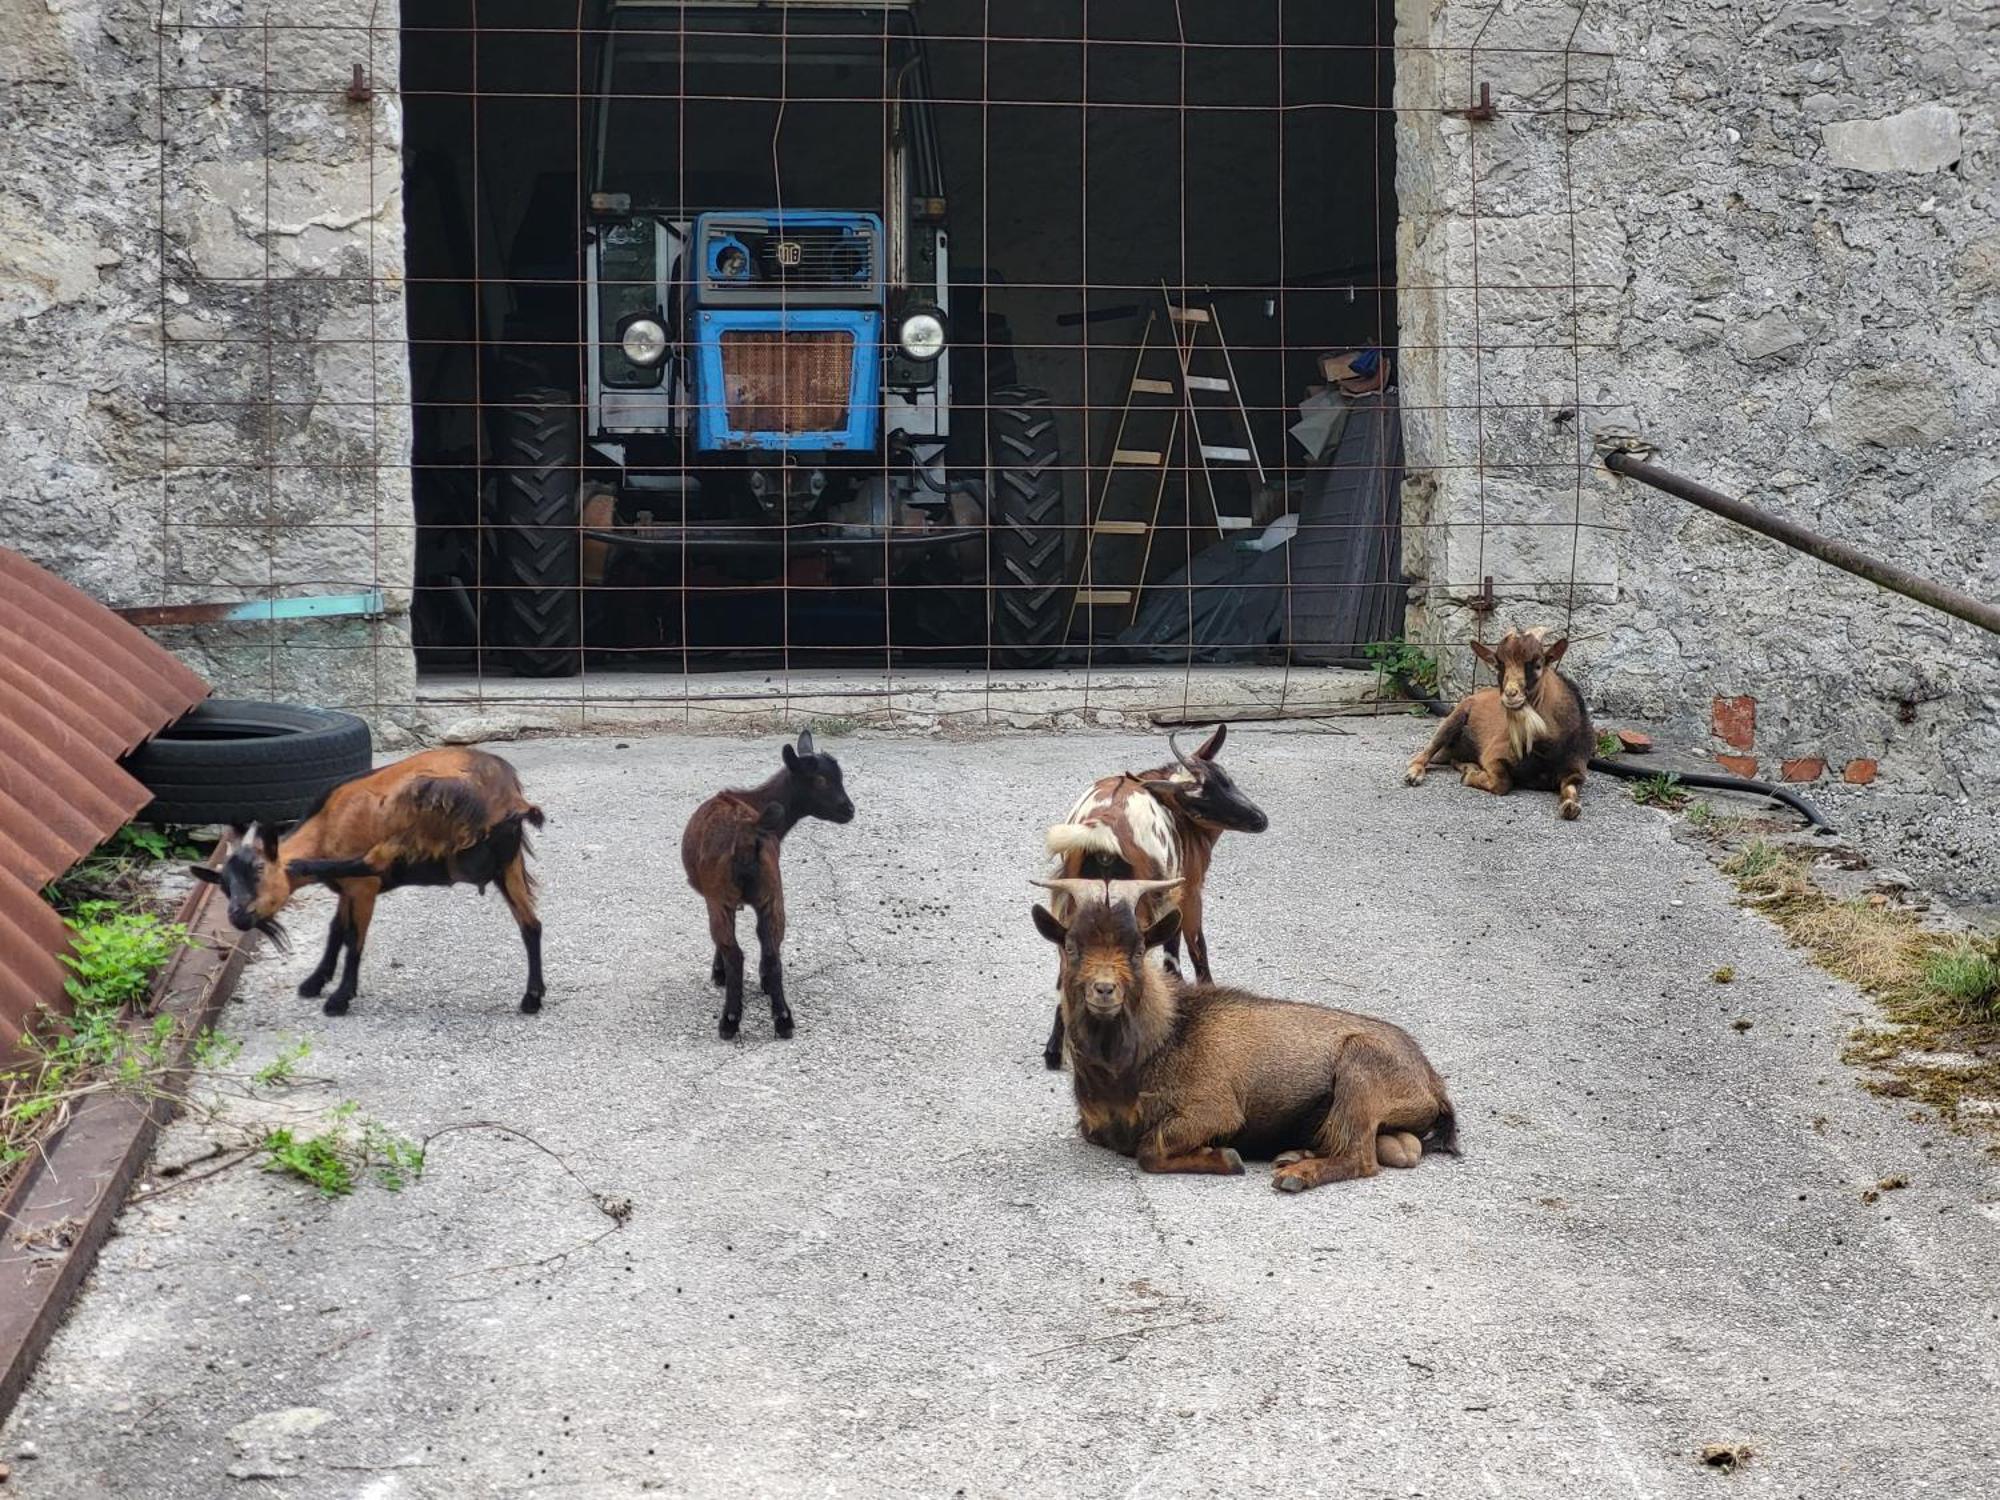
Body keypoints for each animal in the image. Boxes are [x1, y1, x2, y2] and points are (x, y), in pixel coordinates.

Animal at [680, 732, 852, 1040]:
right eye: (821, 780)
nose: (850, 810)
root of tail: (747, 834)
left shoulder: (718, 899)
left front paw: (718, 974)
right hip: (772, 893)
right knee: (772, 950)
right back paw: (783, 1019)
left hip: (720, 895)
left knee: (734, 952)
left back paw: (730, 1021)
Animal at [1032, 880, 1456, 1200]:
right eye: (1071, 946)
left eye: (1137, 950)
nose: (1104, 990)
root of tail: (1432, 1084)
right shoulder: (1092, 1127)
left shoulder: (1215, 1108)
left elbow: (1149, 1150)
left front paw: (1225, 1157)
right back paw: (1294, 1154)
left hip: (1361, 1071)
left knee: (1361, 1157)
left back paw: (1296, 1174)